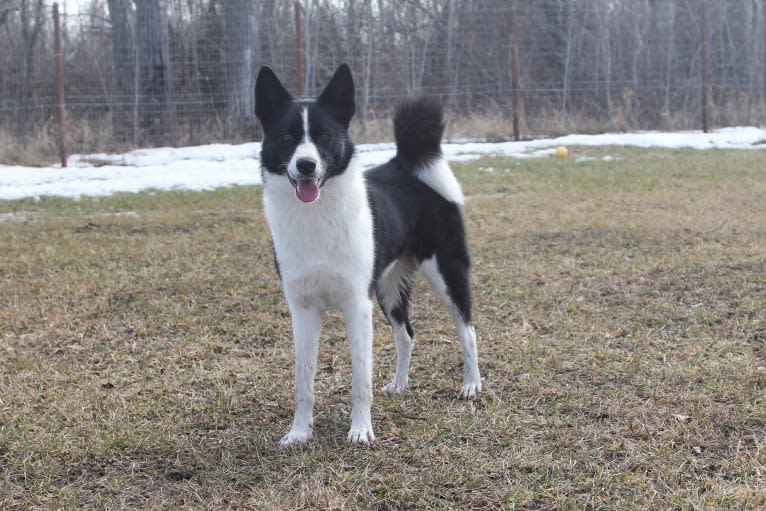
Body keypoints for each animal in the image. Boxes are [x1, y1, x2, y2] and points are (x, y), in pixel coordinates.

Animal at [258, 65, 486, 448]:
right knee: (406, 333)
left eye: (323, 136)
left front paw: (361, 430)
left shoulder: (357, 305)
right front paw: (299, 432)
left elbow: (360, 378)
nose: (305, 165)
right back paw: (399, 385)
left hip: (447, 272)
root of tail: (405, 164)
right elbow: (303, 380)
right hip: (388, 287)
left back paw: (471, 384)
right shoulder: (302, 309)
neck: (316, 215)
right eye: (288, 136)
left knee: (466, 329)